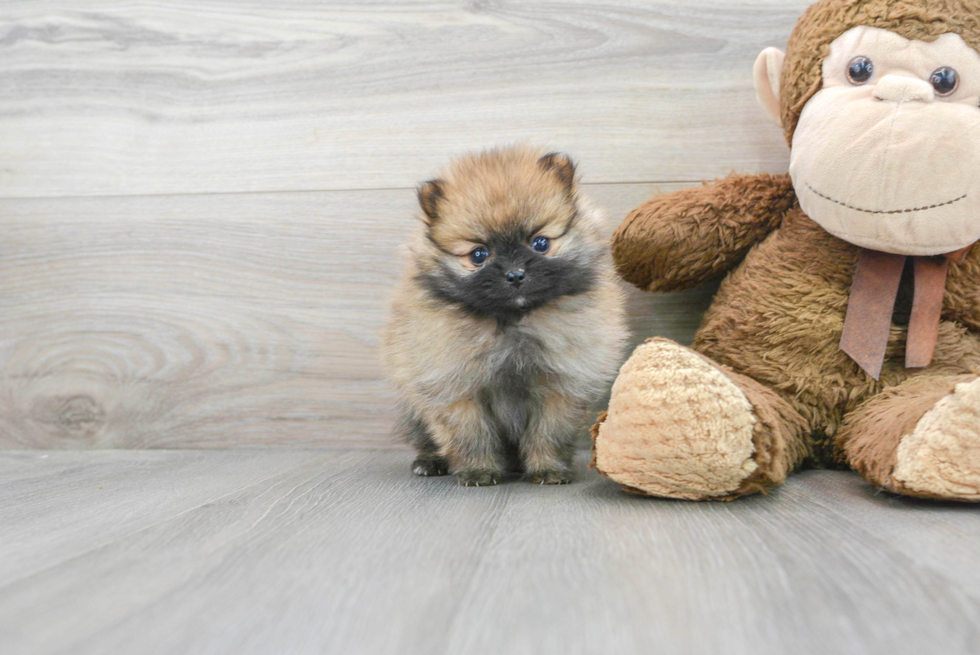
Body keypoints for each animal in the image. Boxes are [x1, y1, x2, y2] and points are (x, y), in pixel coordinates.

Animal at [382, 147, 628, 486]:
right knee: (425, 437)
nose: (515, 274)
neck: (513, 323)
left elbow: (549, 432)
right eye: (478, 255)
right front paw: (477, 470)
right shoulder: (455, 388)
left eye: (540, 243)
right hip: (412, 407)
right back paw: (430, 462)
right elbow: (470, 434)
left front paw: (548, 469)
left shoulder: (561, 385)